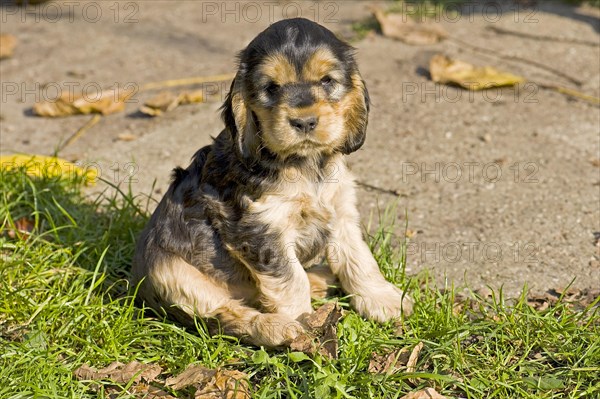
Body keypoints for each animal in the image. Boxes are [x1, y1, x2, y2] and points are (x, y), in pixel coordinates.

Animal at [131, 18, 412, 346]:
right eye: (271, 88)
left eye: (327, 81)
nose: (304, 121)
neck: (305, 164)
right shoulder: (261, 228)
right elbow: (290, 279)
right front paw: (305, 326)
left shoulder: (340, 210)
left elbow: (358, 258)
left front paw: (384, 300)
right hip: (175, 276)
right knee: (225, 316)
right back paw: (277, 327)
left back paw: (321, 278)